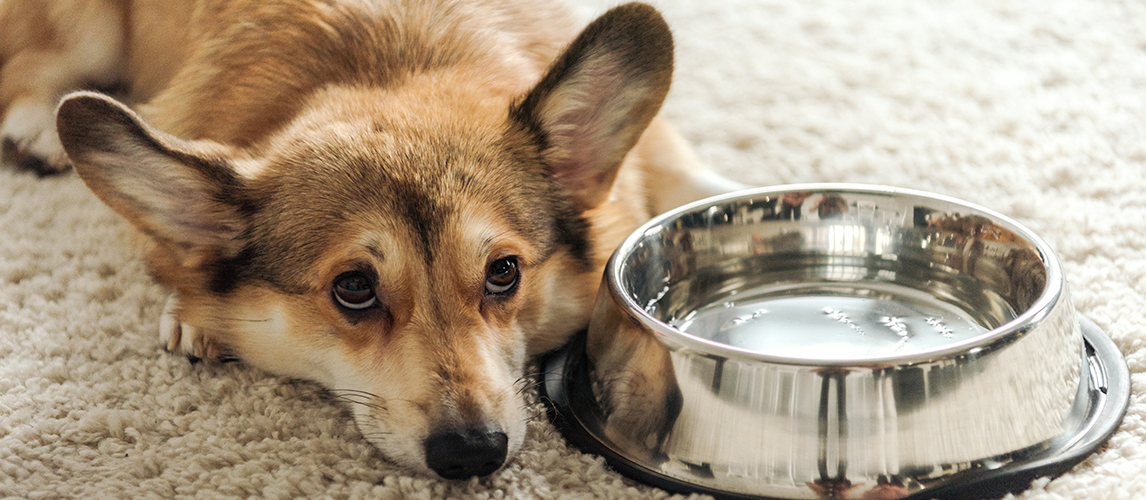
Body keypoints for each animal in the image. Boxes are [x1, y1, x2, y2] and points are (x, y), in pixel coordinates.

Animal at [0, 0, 742, 479]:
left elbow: (684, 170)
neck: (388, 69)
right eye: (353, 288)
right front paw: (193, 311)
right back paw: (36, 127)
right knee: (33, 66)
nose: (473, 454)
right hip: (87, 32)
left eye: (504, 272)